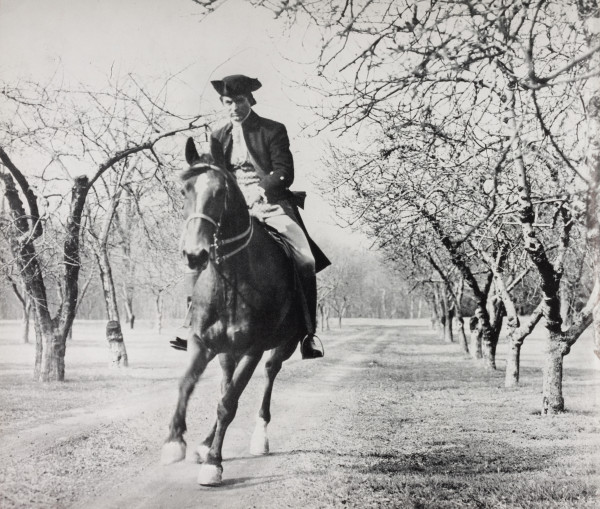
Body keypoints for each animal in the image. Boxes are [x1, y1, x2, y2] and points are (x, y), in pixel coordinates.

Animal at [161, 138, 304, 484]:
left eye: (221, 192)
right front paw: (175, 441)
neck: (231, 279)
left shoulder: (254, 348)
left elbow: (229, 403)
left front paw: (214, 463)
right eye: (184, 190)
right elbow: (187, 384)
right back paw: (203, 443)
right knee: (226, 383)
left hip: (282, 346)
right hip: (227, 351)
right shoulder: (202, 342)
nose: (194, 254)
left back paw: (258, 437)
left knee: (267, 375)